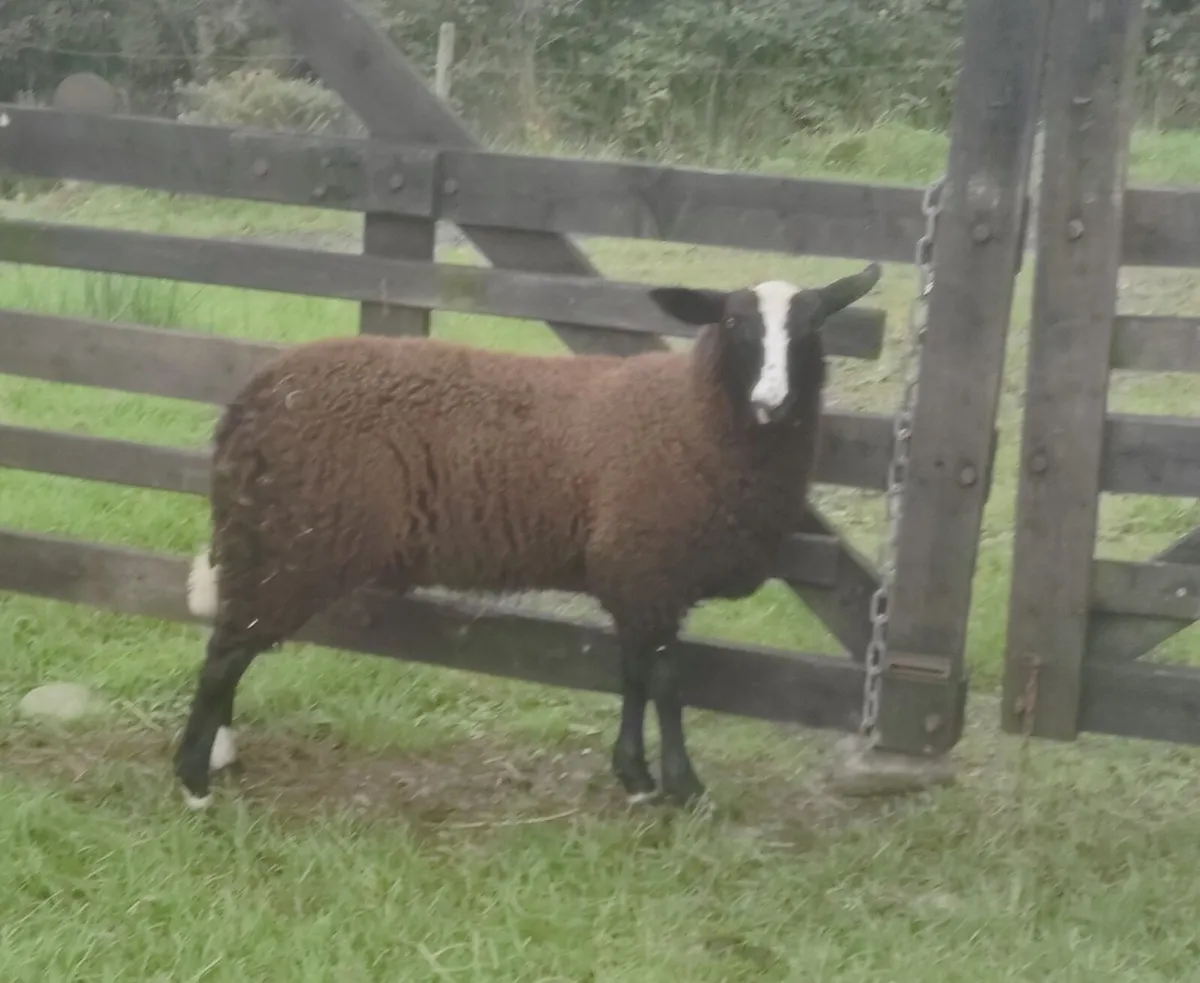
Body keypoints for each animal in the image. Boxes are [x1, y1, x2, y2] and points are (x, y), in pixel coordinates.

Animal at [174, 262, 882, 810]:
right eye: (734, 324)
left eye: (812, 326)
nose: (772, 401)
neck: (692, 416)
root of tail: (248, 401)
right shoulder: (647, 568)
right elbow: (667, 684)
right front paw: (682, 786)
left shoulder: (636, 577)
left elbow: (632, 676)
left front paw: (635, 776)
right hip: (289, 546)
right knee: (224, 655)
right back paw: (193, 781)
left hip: (264, 543)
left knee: (228, 644)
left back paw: (219, 758)